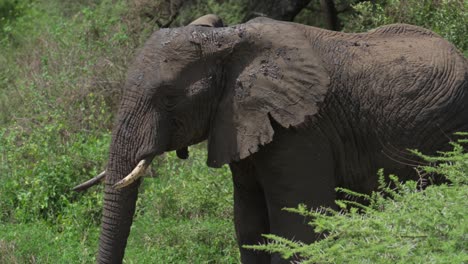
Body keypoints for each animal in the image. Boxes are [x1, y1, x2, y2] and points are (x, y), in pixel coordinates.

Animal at [76, 14, 468, 264]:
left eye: (169, 99)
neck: (228, 43)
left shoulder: (301, 130)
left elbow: (298, 228)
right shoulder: (239, 122)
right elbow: (248, 226)